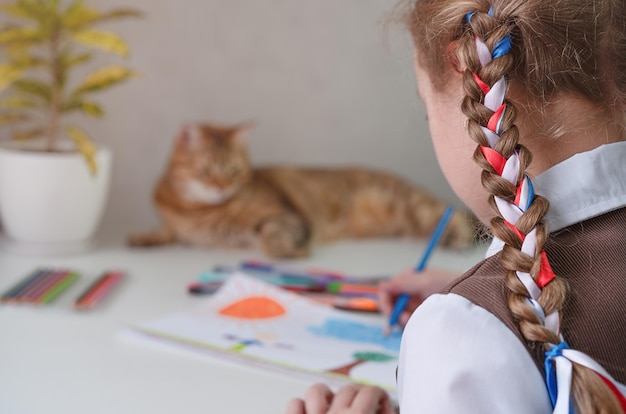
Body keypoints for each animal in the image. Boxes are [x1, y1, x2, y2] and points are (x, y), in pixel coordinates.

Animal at [129, 121, 476, 258]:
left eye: (234, 171)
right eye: (206, 171)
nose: (221, 187)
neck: (195, 211)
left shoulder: (283, 216)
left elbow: (272, 235)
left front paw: (287, 250)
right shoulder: (181, 227)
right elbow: (168, 231)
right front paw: (145, 236)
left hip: (408, 205)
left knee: (451, 214)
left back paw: (457, 239)